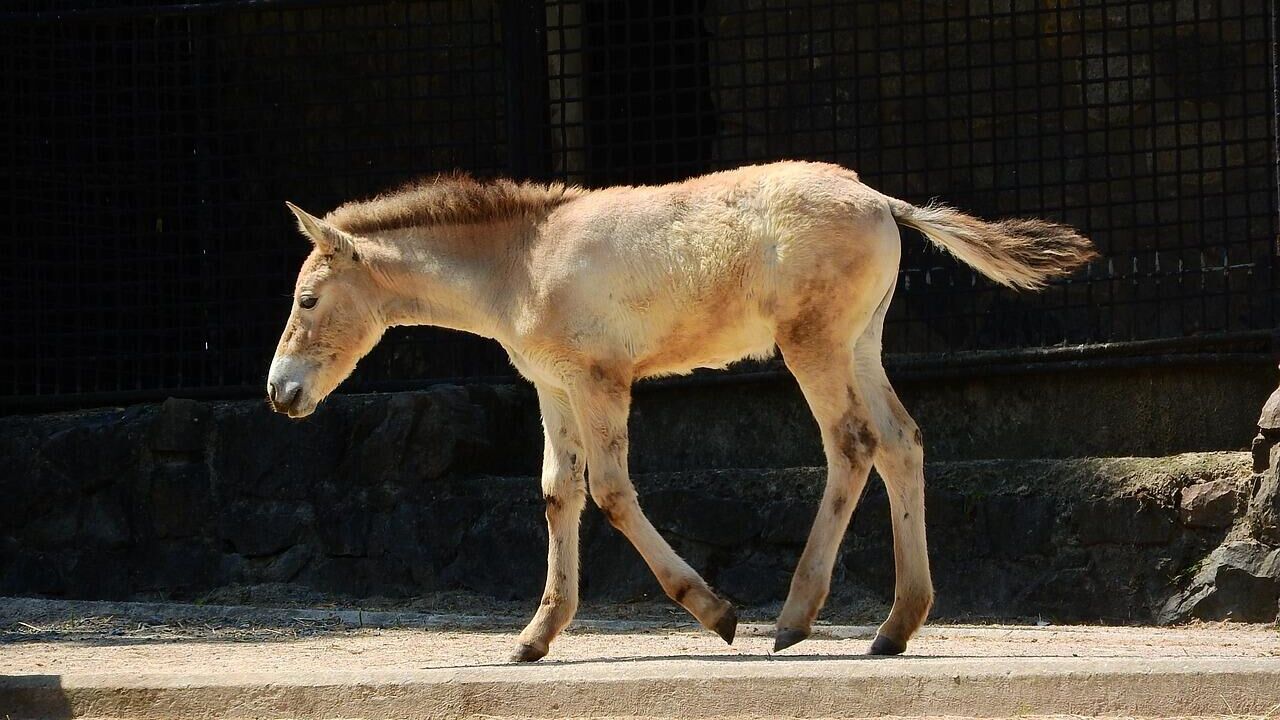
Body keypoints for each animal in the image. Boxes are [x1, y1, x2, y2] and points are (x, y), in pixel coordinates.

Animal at [264, 159, 1095, 661]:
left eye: (306, 299)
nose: (279, 392)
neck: (520, 263)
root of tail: (882, 200)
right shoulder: (553, 388)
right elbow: (557, 495)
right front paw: (535, 637)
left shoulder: (600, 381)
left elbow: (609, 492)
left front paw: (713, 610)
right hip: (861, 343)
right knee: (902, 441)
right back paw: (895, 626)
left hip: (814, 344)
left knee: (852, 444)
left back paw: (793, 619)